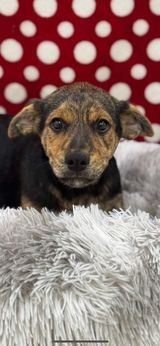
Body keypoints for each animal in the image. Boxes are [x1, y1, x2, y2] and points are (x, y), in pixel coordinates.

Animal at [0, 82, 153, 211]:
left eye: (102, 124)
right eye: (57, 123)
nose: (77, 160)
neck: (78, 193)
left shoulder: (113, 207)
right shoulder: (35, 209)